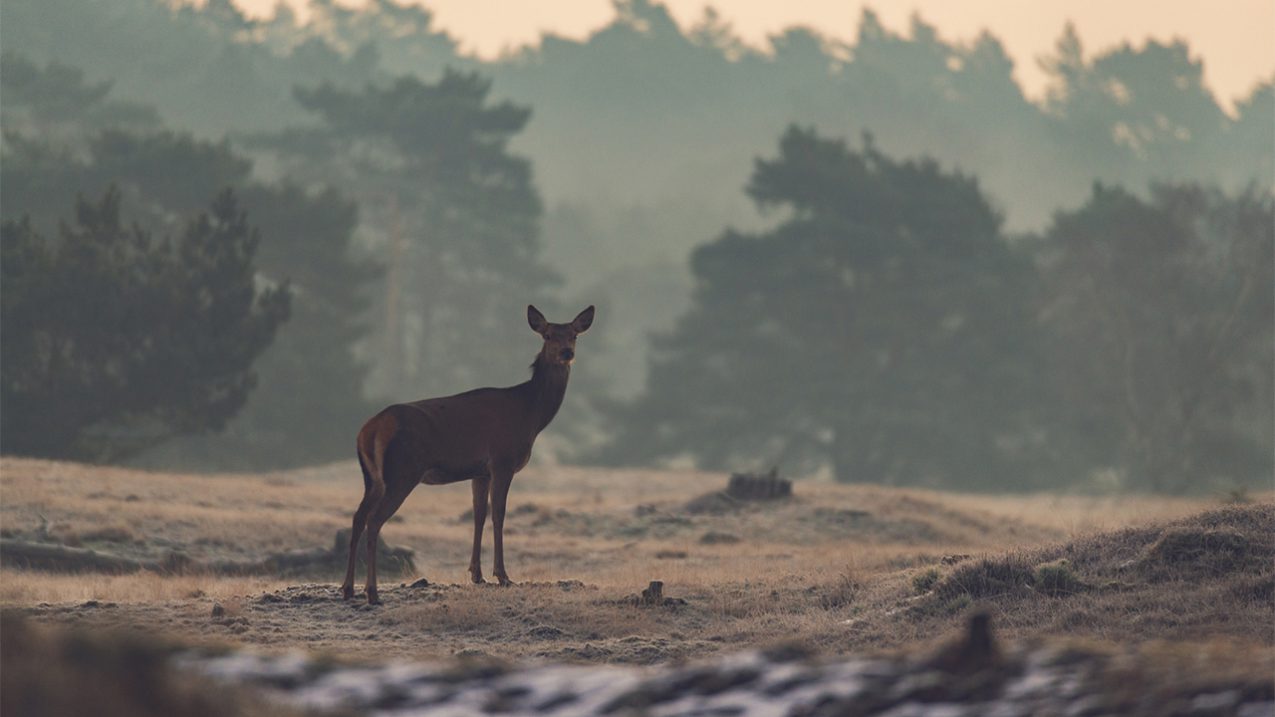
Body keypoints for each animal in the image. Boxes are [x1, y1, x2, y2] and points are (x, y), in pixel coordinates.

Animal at [341, 302, 594, 602]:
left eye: (574, 335)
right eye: (548, 335)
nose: (567, 353)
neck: (531, 415)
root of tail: (369, 430)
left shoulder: (480, 471)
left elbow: (478, 515)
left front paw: (476, 574)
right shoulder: (502, 461)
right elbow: (499, 514)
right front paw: (503, 576)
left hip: (371, 477)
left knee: (358, 517)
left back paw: (347, 589)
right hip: (402, 472)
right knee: (374, 520)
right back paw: (372, 592)